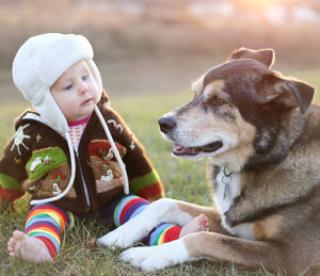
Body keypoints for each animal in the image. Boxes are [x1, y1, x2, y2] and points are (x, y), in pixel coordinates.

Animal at [97, 48, 320, 274]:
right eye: (194, 93)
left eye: (219, 101)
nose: (162, 123)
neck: (273, 155)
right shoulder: (228, 221)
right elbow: (165, 203)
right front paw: (119, 235)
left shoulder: (292, 256)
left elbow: (204, 238)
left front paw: (148, 255)